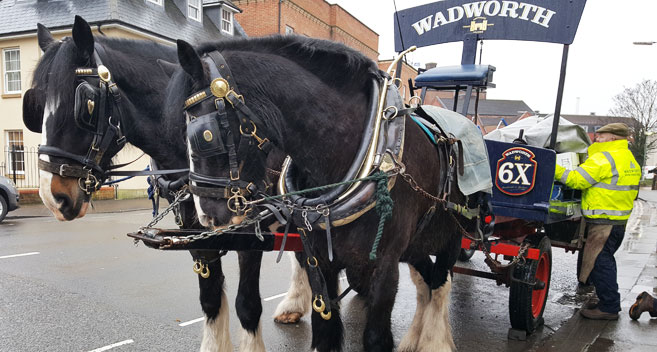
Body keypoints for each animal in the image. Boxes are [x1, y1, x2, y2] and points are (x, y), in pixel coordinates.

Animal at [21, 15, 304, 352]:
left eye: (85, 103)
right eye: (36, 104)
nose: (53, 196)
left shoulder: (250, 232)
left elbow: (247, 305)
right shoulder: (197, 234)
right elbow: (210, 300)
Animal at [168, 35, 466, 352]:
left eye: (204, 136)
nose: (206, 217)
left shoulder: (385, 265)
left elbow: (376, 337)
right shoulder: (320, 260)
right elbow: (324, 331)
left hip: (450, 237)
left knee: (440, 283)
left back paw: (435, 340)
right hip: (417, 243)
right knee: (426, 283)